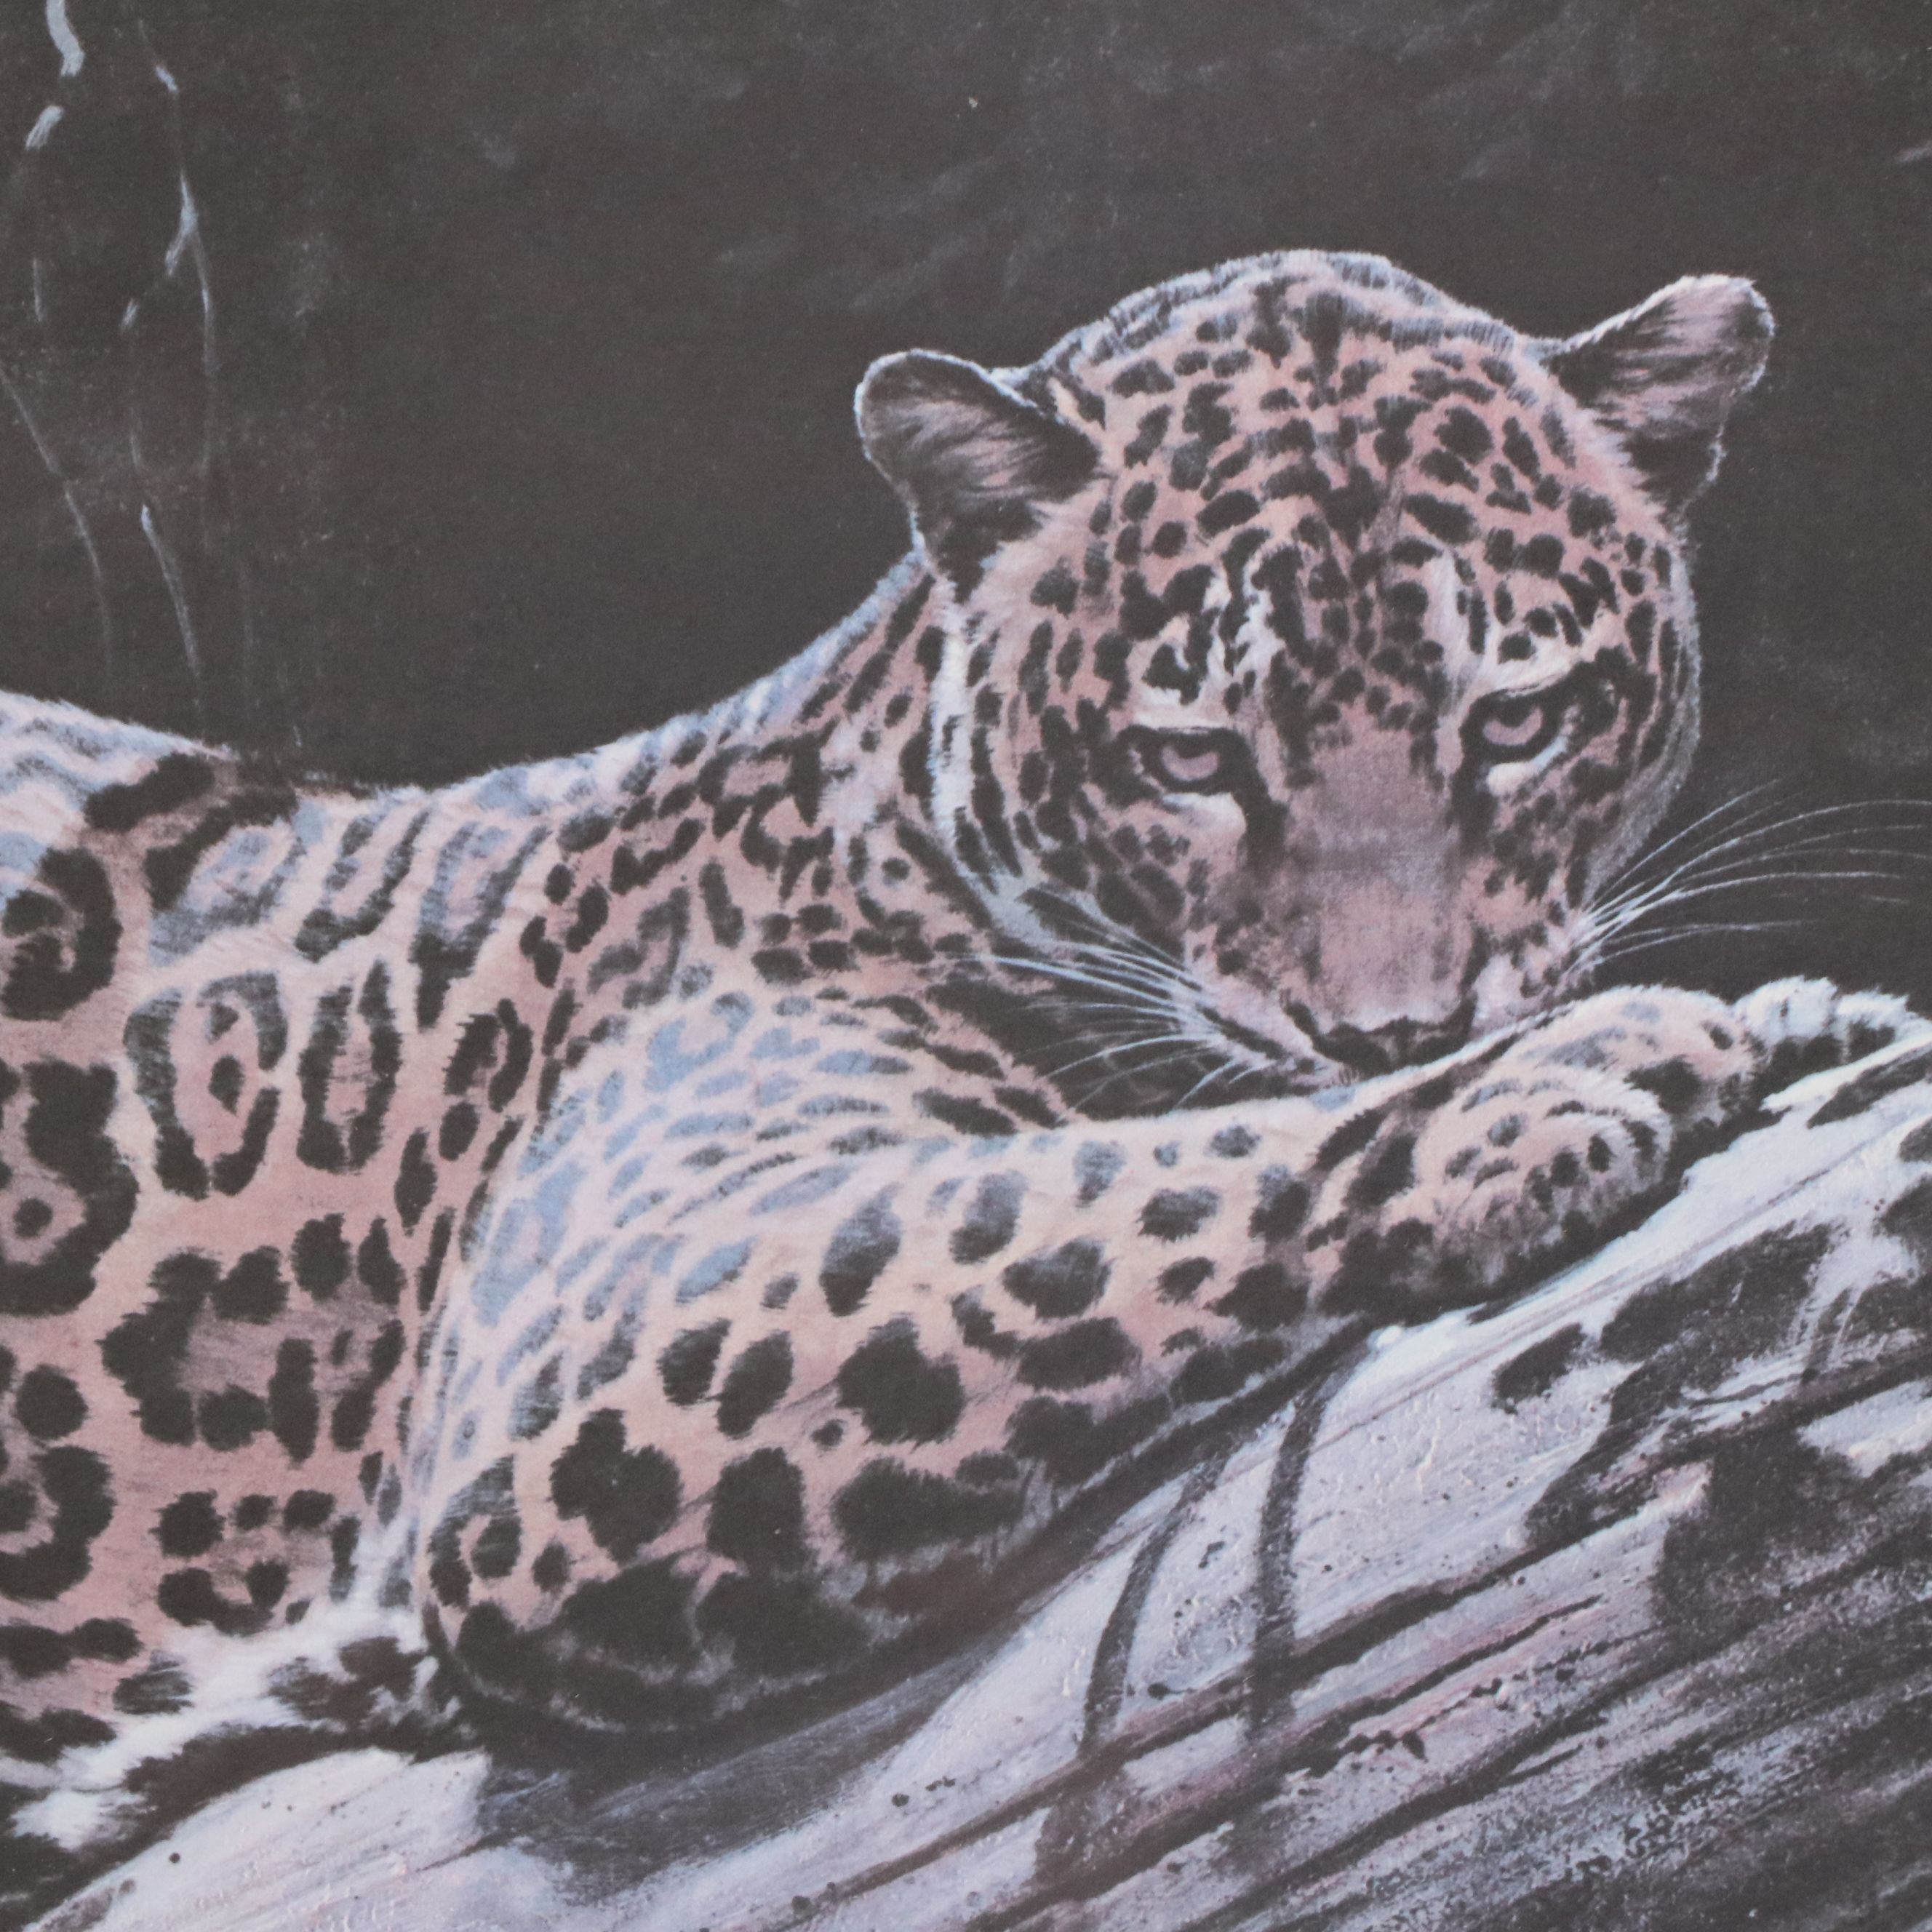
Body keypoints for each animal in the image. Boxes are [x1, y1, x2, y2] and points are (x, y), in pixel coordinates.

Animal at [0, 247, 1906, 1926]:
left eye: (1515, 722)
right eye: (1189, 758)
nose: (1397, 1031)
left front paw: (1803, 1012)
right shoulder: (603, 1350)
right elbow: (1105, 1193)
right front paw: (1563, 1073)